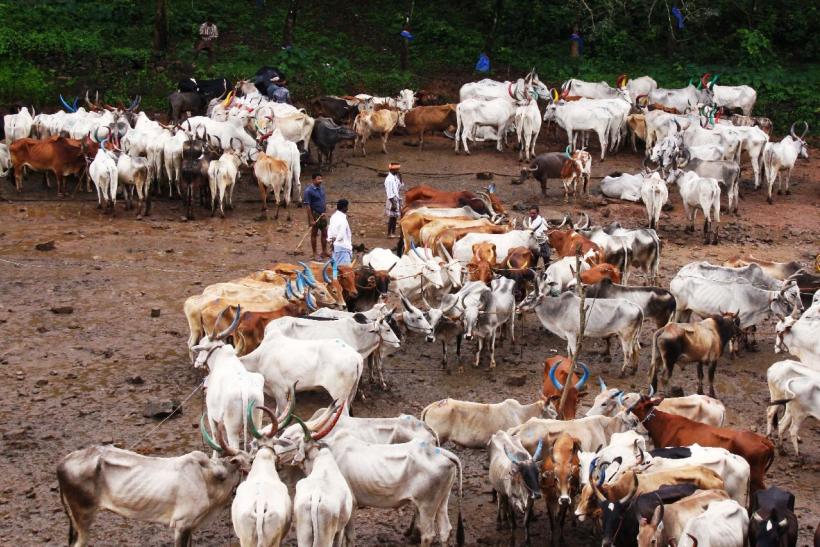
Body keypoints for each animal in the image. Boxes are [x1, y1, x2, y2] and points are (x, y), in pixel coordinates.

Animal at [57, 426, 250, 547]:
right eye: (250, 462)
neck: (209, 478)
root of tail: (62, 463)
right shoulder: (181, 525)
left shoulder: (191, 527)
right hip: (83, 516)